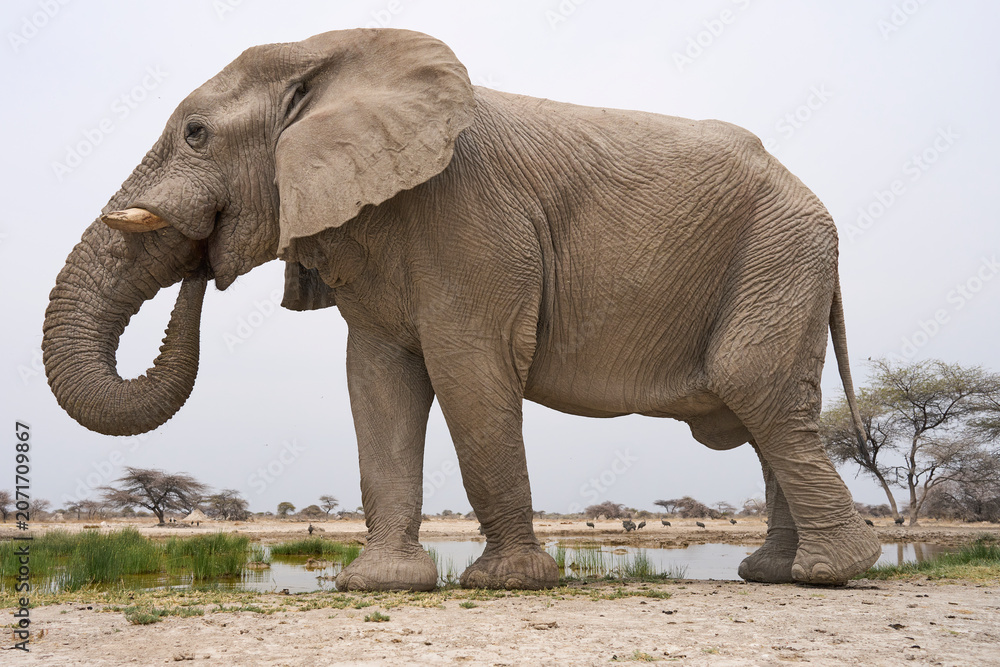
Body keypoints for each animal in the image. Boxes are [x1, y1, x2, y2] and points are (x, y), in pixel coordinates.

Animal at [43, 28, 881, 590]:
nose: (202, 262)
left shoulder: (469, 217)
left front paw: (505, 582)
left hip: (781, 254)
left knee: (756, 390)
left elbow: (468, 370)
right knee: (766, 411)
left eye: (195, 134)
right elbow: (377, 380)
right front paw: (380, 584)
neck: (326, 52)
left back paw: (828, 573)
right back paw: (775, 572)